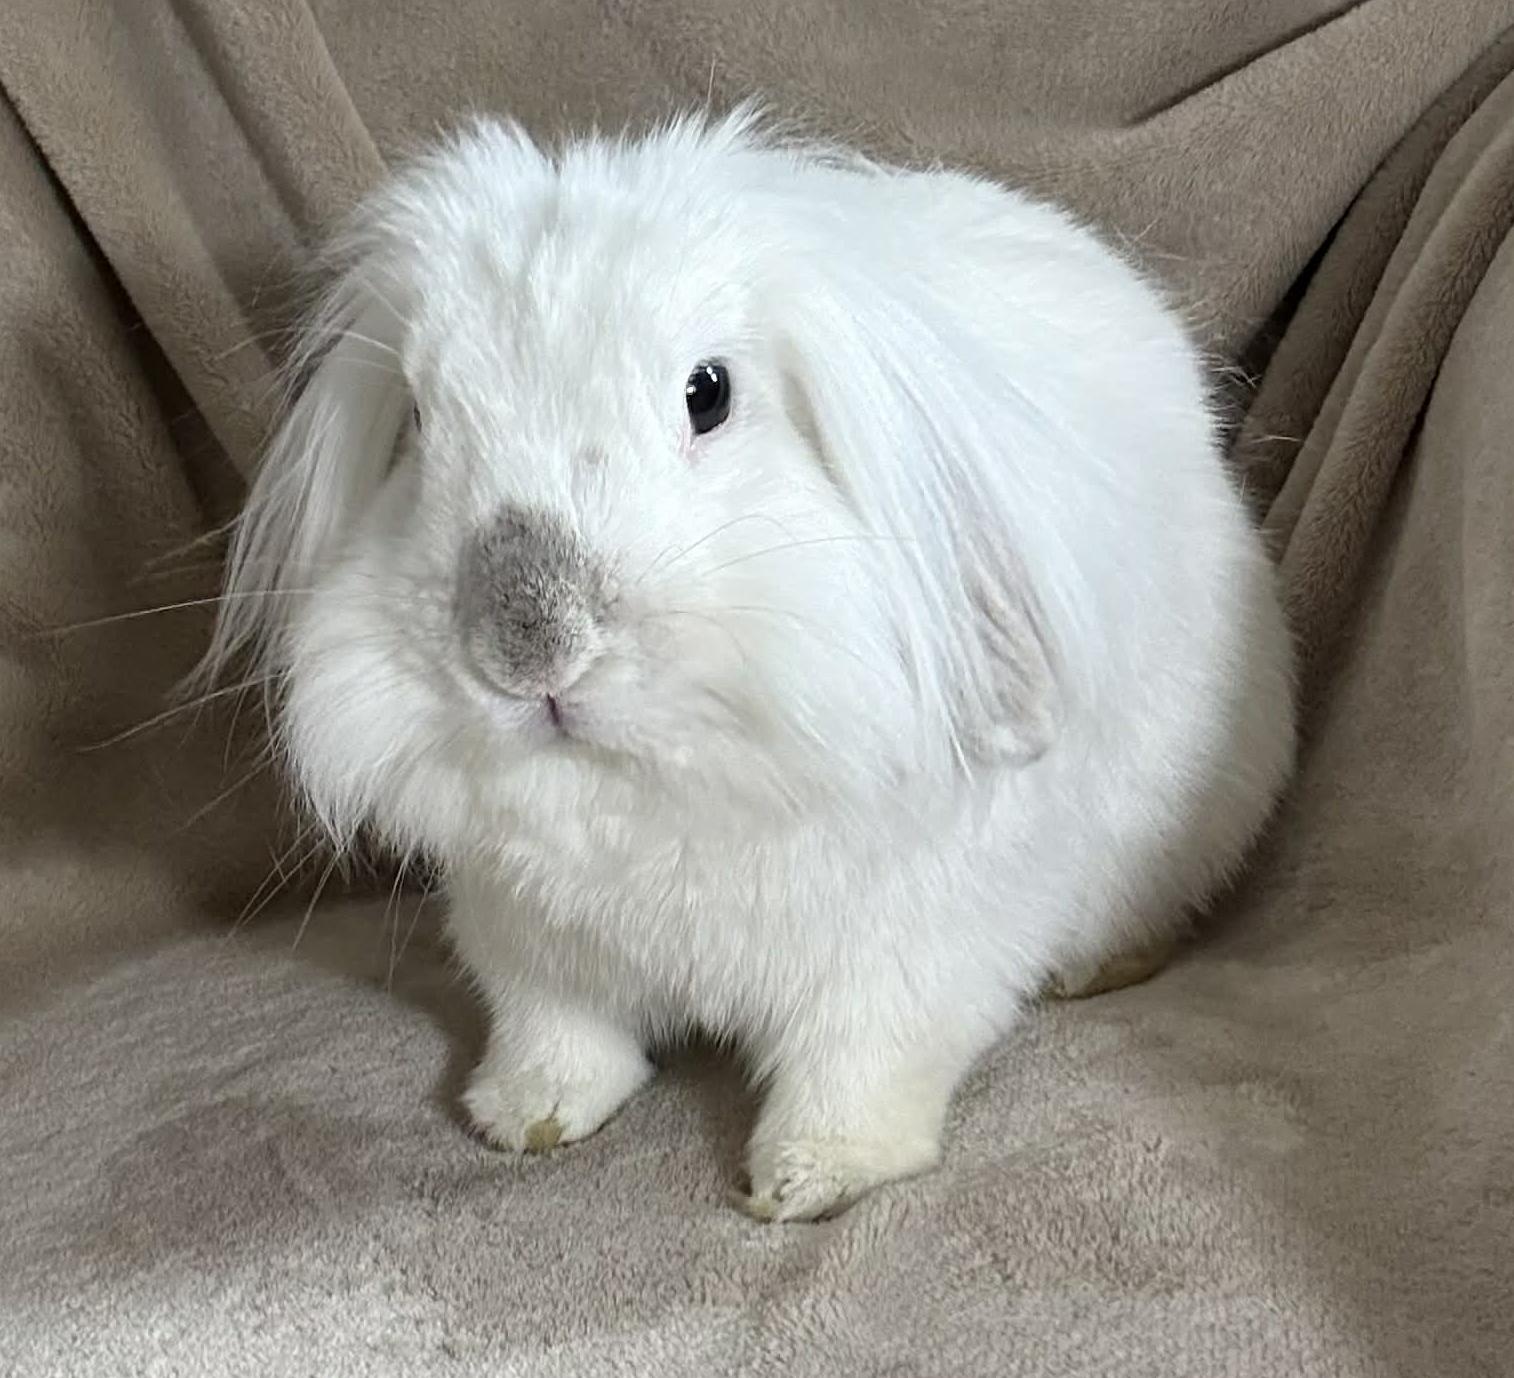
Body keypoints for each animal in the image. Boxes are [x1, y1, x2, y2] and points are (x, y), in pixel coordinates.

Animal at [203, 107, 1295, 1222]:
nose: (529, 645)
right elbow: (560, 1035)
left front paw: (808, 1178)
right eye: (421, 418)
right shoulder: (528, 943)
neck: (659, 792)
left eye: (708, 393)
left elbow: (860, 1064)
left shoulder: (906, 957)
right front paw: (522, 1116)